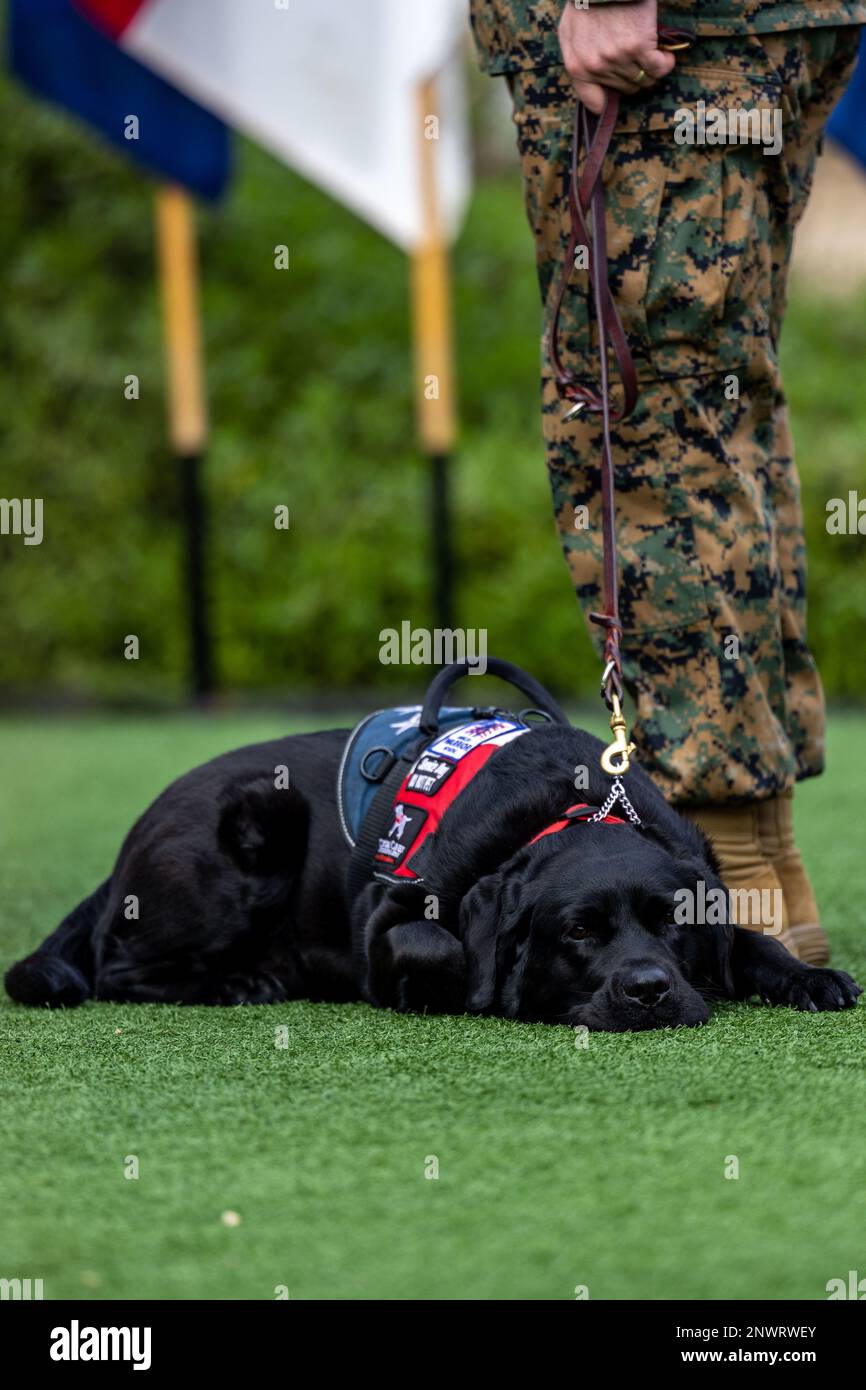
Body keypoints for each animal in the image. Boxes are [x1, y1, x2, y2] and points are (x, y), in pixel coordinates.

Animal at [5, 717, 861, 1034]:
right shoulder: (388, 915)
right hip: (257, 825)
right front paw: (466, 990)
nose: (651, 990)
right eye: (579, 932)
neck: (568, 810)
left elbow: (751, 942)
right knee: (116, 966)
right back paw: (243, 981)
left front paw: (810, 977)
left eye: (671, 927)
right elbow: (438, 945)